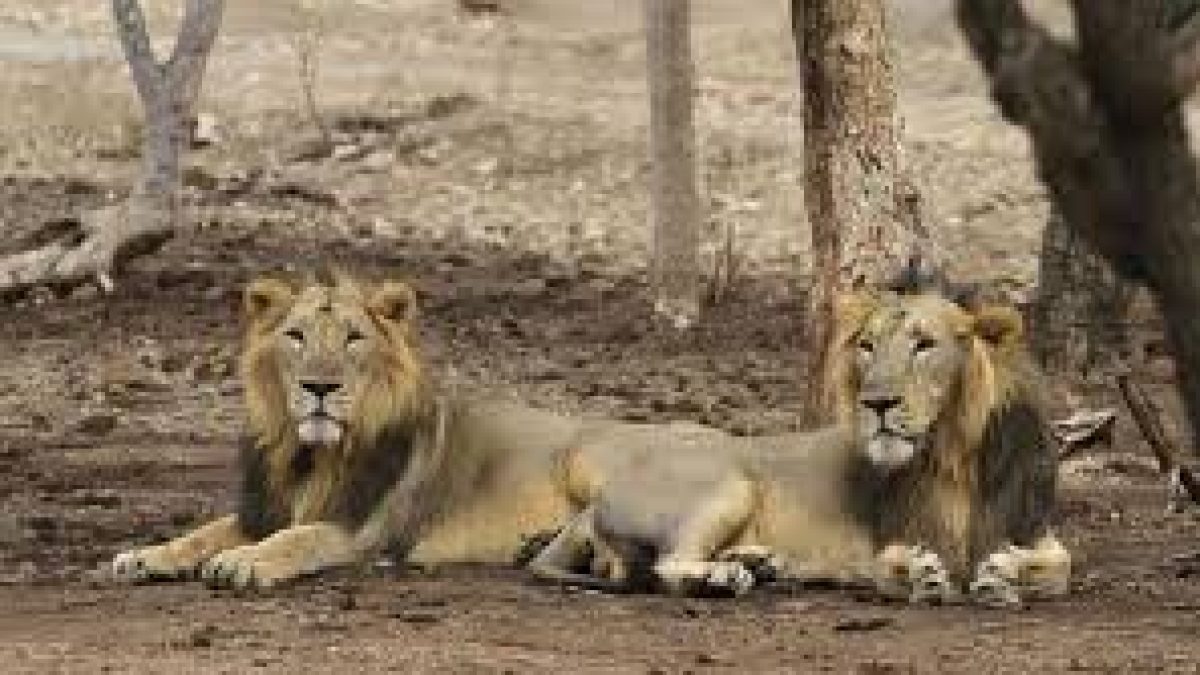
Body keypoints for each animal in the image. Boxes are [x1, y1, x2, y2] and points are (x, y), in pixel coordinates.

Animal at [526, 289, 1071, 606]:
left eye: (925, 344)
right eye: (867, 346)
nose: (877, 403)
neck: (953, 455)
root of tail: (601, 497)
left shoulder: (1035, 529)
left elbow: (1057, 567)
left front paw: (1002, 573)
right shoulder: (877, 547)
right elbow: (892, 565)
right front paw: (922, 574)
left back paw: (756, 563)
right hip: (731, 481)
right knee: (668, 567)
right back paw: (723, 578)